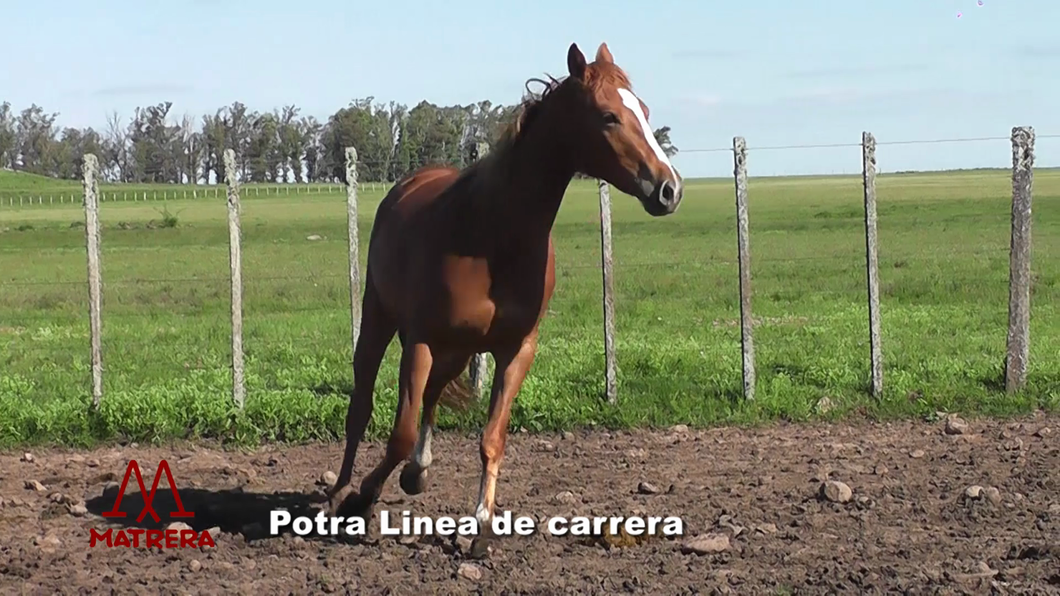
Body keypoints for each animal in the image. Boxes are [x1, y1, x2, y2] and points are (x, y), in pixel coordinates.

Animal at [326, 40, 682, 551]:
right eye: (610, 116)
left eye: (646, 111)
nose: (670, 188)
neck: (492, 235)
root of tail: (409, 183)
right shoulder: (420, 341)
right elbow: (399, 432)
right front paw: (361, 499)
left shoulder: (516, 349)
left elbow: (491, 439)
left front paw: (481, 526)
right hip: (380, 320)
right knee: (361, 406)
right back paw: (339, 492)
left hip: (458, 348)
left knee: (433, 395)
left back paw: (418, 472)